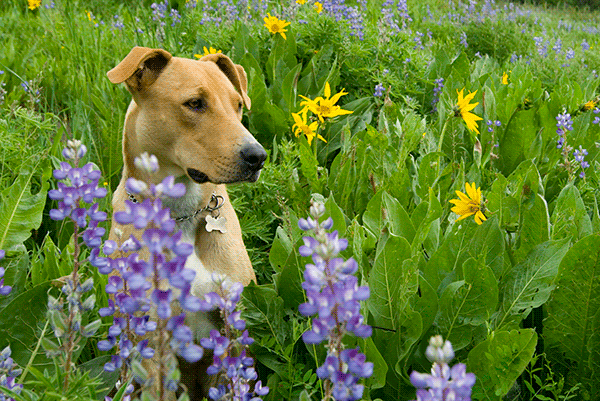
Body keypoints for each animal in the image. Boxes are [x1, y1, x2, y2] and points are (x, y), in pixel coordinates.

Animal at [106, 46, 266, 396]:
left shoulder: (231, 329)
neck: (180, 212)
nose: (258, 156)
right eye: (194, 103)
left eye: (237, 104)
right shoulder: (154, 344)